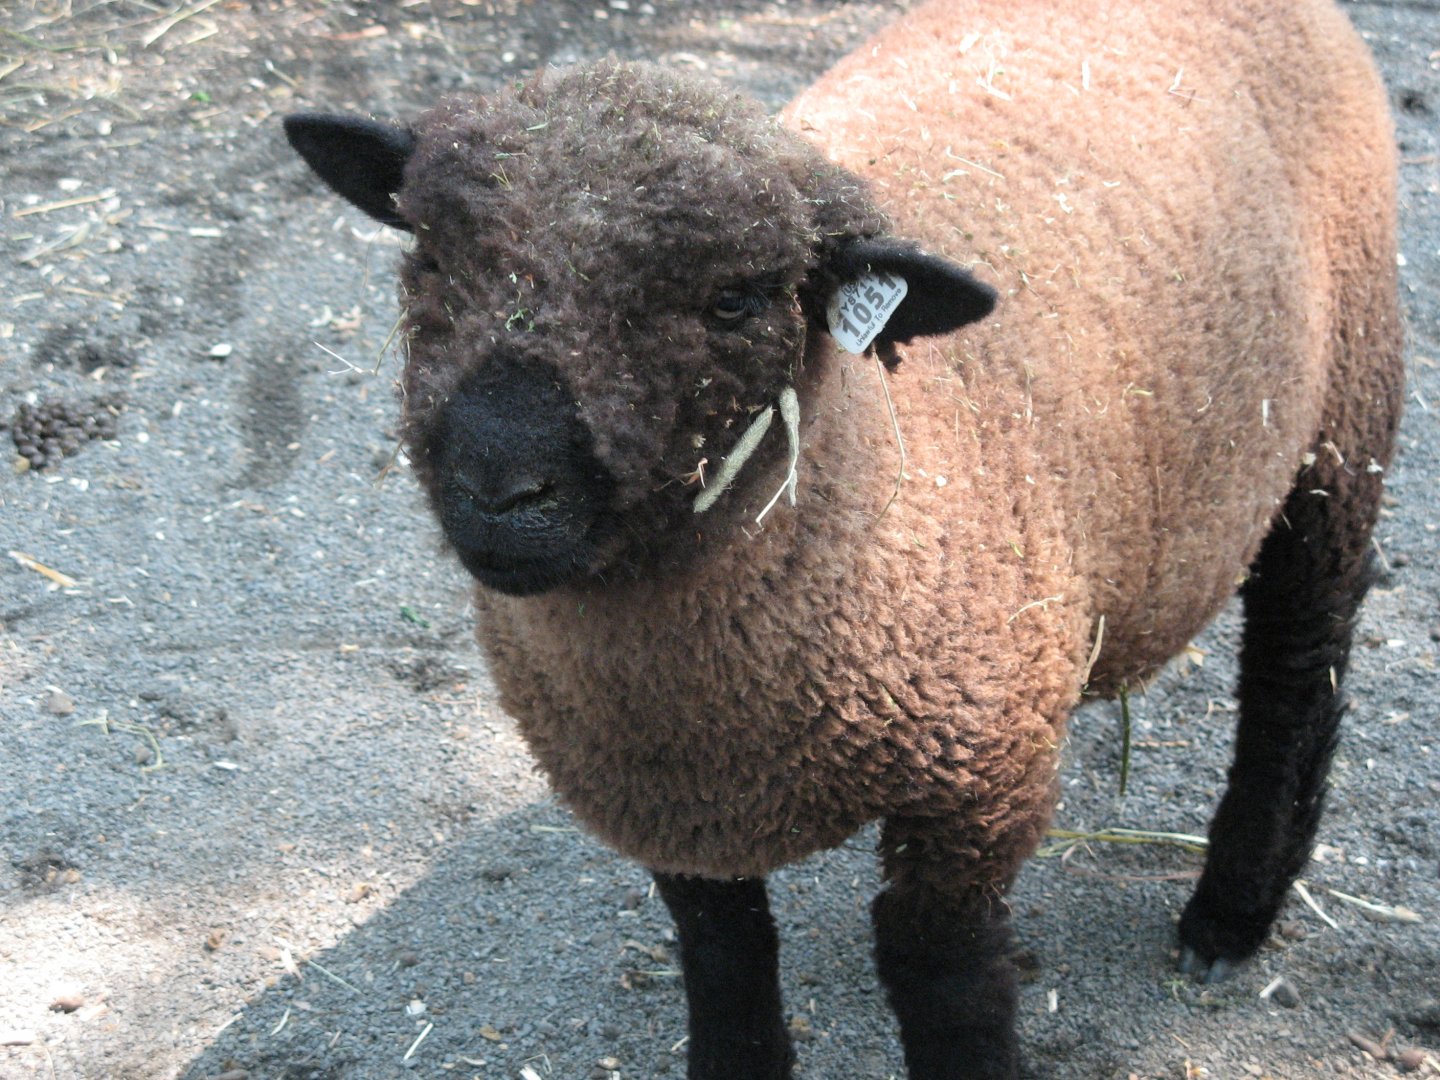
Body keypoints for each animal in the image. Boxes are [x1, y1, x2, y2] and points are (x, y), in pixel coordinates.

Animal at [282, 0, 1403, 1074]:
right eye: (429, 254)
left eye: (734, 299)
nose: (497, 486)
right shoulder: (671, 798)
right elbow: (724, 956)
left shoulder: (974, 790)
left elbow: (944, 980)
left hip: (1343, 417)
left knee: (1300, 663)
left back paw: (1231, 915)